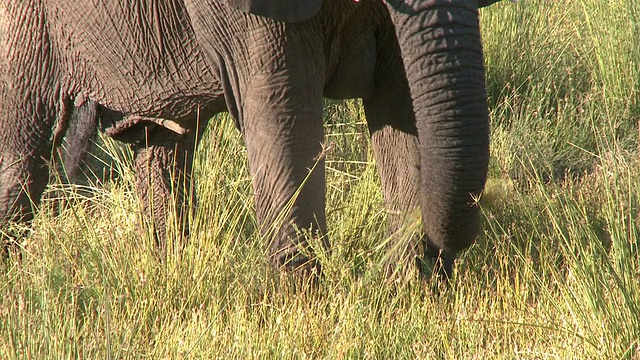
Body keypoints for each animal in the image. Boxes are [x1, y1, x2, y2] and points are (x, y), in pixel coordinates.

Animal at [0, 0, 498, 280]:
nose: (434, 249)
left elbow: (402, 100)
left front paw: (411, 293)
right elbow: (281, 106)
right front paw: (303, 311)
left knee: (163, 148)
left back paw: (171, 273)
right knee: (21, 158)